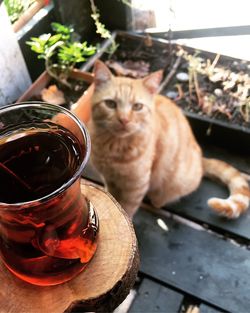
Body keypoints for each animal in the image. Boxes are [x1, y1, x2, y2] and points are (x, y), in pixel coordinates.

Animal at [87, 59, 249, 218]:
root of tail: (200, 159)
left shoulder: (136, 186)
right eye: (110, 104)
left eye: (137, 106)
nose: (124, 120)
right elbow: (112, 197)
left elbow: (126, 209)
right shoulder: (110, 180)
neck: (112, 146)